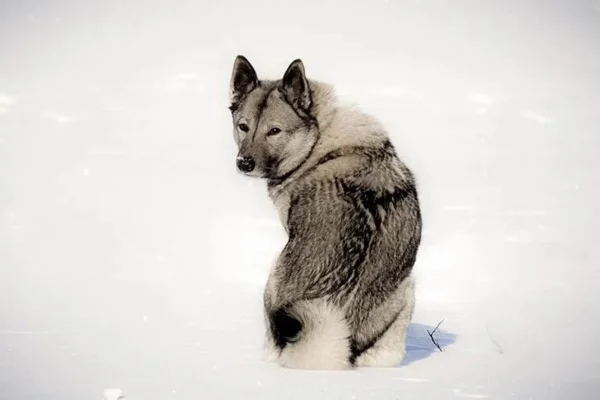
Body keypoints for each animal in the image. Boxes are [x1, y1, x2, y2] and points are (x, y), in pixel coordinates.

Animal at [226, 55, 422, 368]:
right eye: (243, 126)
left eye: (274, 131)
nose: (244, 163)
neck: (318, 141)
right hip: (406, 294)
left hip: (273, 278)